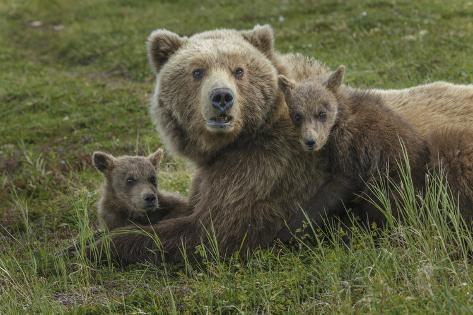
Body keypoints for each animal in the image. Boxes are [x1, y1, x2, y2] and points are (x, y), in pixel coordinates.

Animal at [86, 25, 472, 266]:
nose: (221, 97)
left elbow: (213, 231)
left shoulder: (270, 168)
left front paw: (90, 246)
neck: (235, 142)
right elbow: (189, 206)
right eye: (197, 71)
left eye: (239, 70)